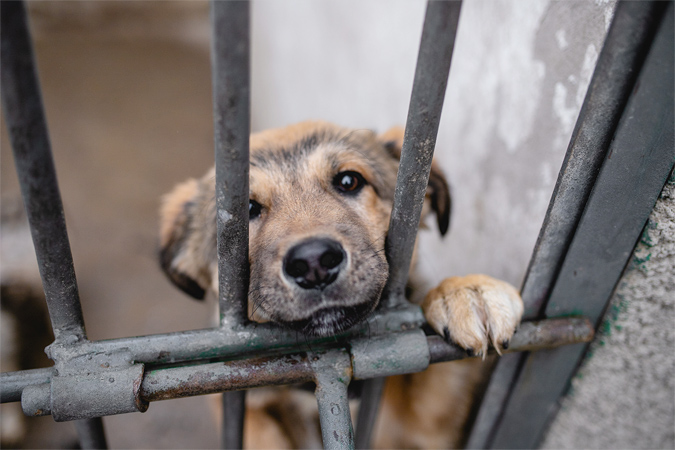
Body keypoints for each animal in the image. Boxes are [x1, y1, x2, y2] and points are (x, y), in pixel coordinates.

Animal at [158, 121, 524, 448]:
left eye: (349, 181)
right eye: (246, 208)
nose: (314, 263)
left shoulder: (428, 421)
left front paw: (465, 292)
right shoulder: (236, 398)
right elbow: (261, 433)